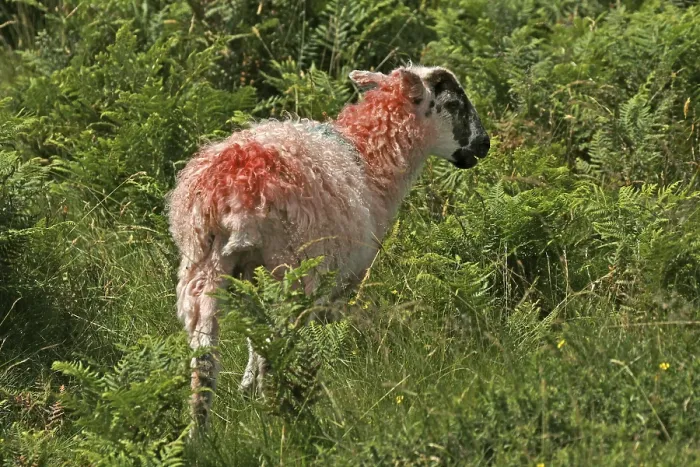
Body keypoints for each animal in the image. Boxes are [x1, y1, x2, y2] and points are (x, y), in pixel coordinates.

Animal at [167, 64, 490, 427]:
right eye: (454, 104)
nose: (484, 144)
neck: (371, 159)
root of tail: (230, 193)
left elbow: (253, 341)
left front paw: (244, 390)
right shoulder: (344, 281)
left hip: (202, 268)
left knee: (204, 360)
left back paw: (200, 431)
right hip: (287, 269)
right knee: (271, 354)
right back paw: (281, 420)